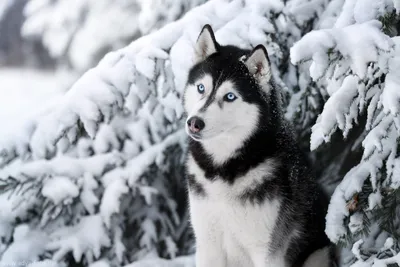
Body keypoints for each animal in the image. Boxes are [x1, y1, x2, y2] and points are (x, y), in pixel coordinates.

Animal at [183, 24, 336, 266]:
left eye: (230, 96)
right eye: (201, 88)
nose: (194, 123)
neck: (224, 168)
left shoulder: (267, 251)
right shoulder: (208, 246)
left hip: (317, 254)